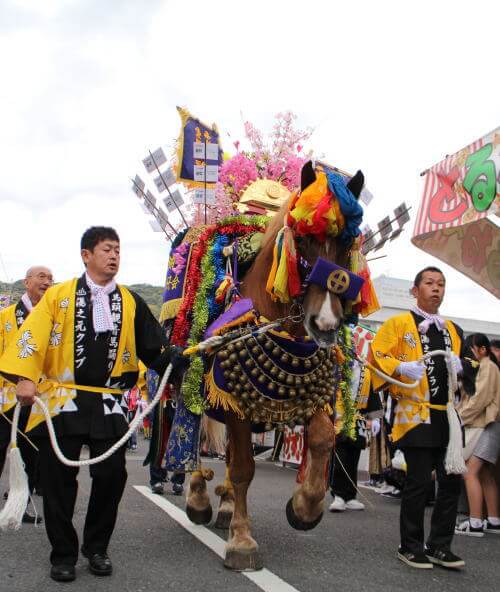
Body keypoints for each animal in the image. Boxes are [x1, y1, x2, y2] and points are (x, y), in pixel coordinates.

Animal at [157, 160, 378, 572]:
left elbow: (322, 441)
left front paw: (304, 508)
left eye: (346, 244)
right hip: (191, 390)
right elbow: (244, 468)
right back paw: (199, 498)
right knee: (194, 440)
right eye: (302, 240)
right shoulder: (236, 406)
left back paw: (226, 505)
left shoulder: (313, 401)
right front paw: (242, 541)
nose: (324, 324)